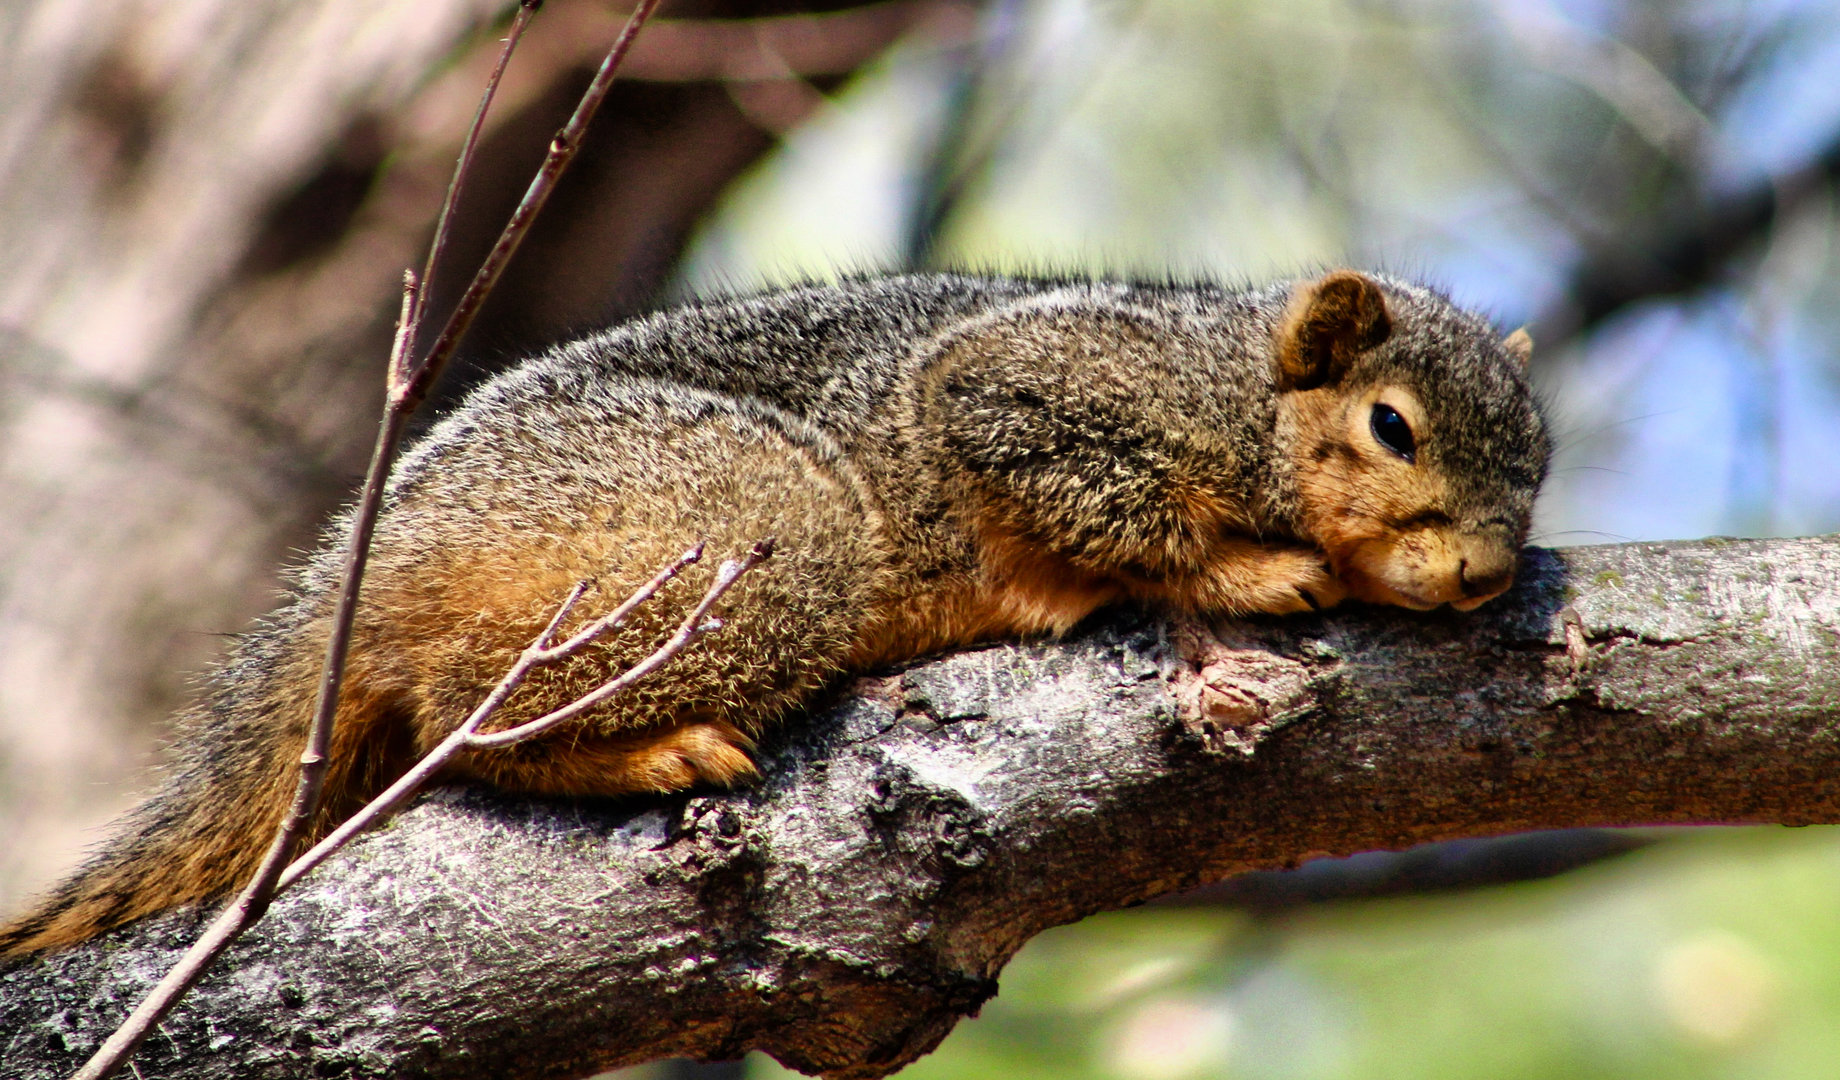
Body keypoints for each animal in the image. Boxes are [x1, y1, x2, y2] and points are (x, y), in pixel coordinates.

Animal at [0, 269, 1548, 958]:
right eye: (1392, 426)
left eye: (1539, 465)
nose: (1485, 572)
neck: (1242, 389)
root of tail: (354, 576)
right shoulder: (1032, 396)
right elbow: (1088, 493)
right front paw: (1242, 573)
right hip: (761, 536)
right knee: (462, 717)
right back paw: (652, 750)